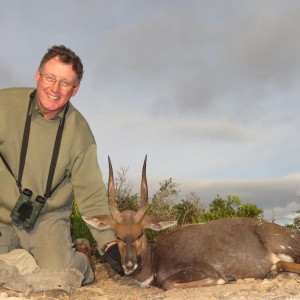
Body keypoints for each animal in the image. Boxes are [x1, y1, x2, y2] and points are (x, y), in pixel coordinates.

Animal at [83, 157, 300, 290]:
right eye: (118, 236)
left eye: (139, 234)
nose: (129, 265)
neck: (155, 258)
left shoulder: (200, 269)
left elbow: (169, 283)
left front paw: (226, 278)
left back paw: (272, 272)